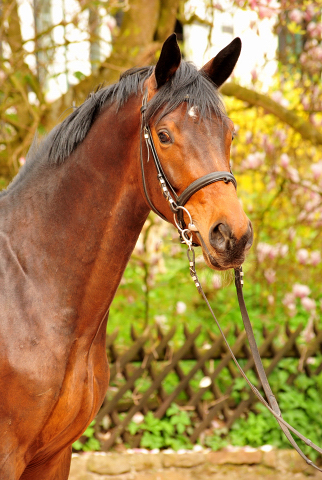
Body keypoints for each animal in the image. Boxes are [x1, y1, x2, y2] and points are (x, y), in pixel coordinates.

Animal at [0, 34, 252, 480]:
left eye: (230, 134)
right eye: (164, 135)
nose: (232, 236)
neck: (30, 289)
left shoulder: (53, 456)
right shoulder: (7, 455)